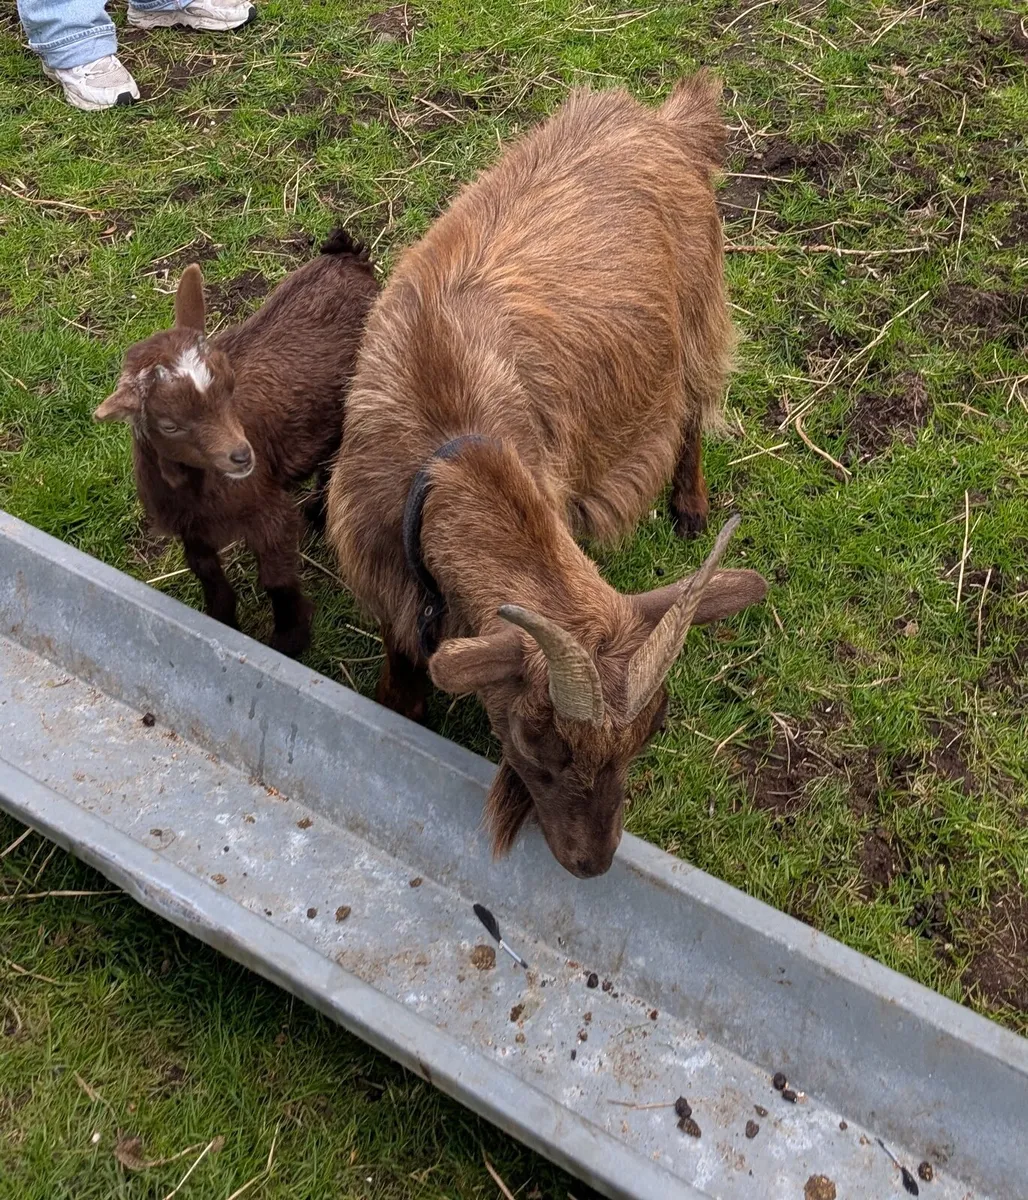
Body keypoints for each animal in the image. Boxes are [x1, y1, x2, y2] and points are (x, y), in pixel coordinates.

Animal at [96, 231, 378, 656]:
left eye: (230, 385)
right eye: (169, 425)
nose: (242, 456)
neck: (198, 492)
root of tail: (346, 256)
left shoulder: (268, 511)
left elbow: (277, 580)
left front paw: (288, 640)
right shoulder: (190, 527)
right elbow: (207, 573)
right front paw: (222, 620)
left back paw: (317, 511)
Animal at [326, 73, 768, 877]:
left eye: (652, 733)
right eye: (538, 740)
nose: (592, 863)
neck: (451, 444)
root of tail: (661, 121)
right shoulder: (386, 586)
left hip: (699, 310)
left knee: (693, 409)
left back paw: (689, 505)